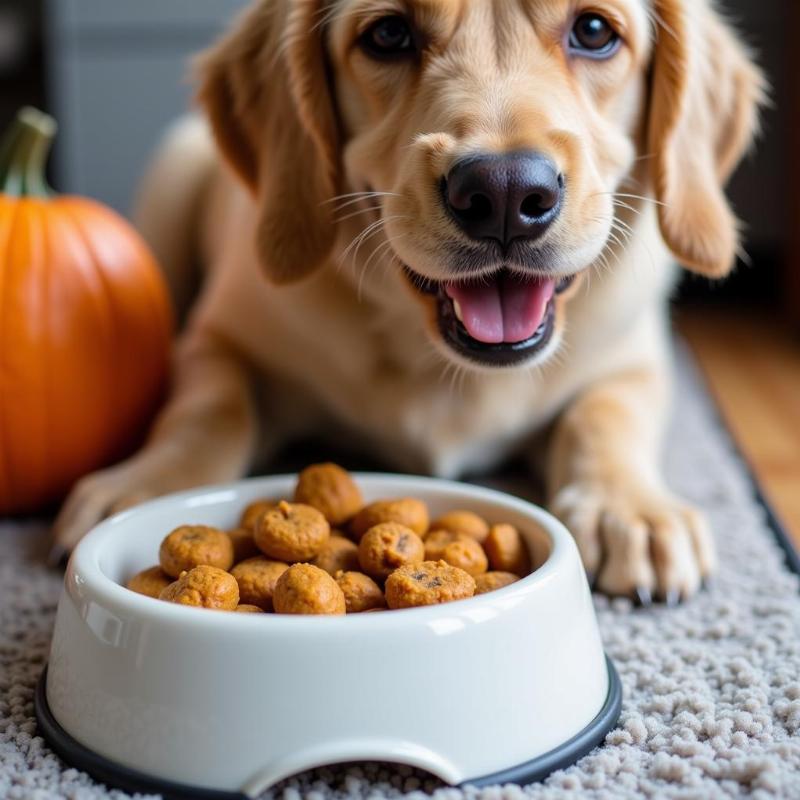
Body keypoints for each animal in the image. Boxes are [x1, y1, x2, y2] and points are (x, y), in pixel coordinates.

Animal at [54, 0, 764, 600]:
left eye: (593, 32)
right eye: (389, 34)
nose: (505, 193)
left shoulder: (635, 357)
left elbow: (605, 415)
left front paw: (630, 511)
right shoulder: (218, 337)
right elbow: (209, 408)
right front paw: (151, 482)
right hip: (172, 177)